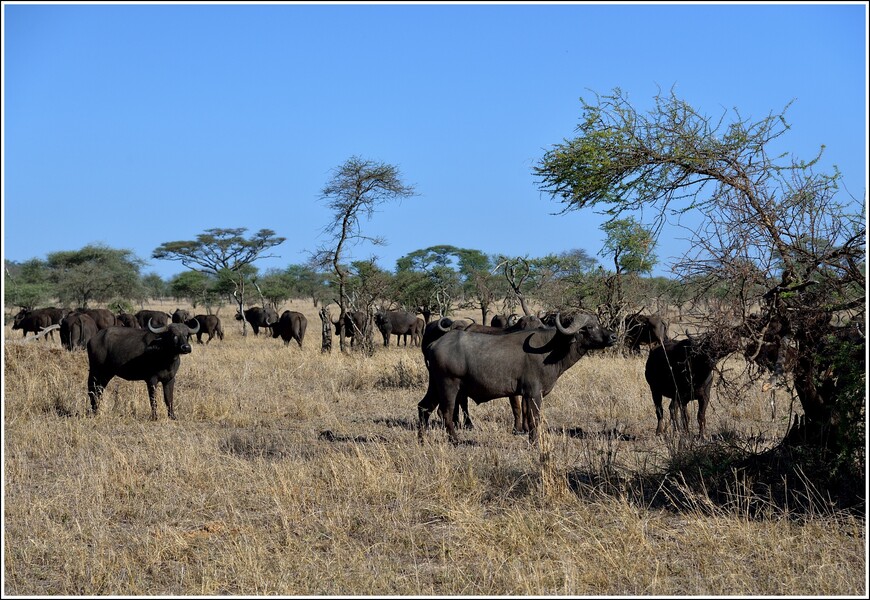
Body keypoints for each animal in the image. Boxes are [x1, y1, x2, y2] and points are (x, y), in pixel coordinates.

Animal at [418, 314, 616, 446]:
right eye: (590, 327)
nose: (613, 336)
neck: (552, 348)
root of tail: (434, 344)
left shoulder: (526, 395)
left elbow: (528, 416)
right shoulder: (534, 394)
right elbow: (534, 418)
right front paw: (535, 443)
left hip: (435, 386)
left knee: (424, 407)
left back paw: (422, 439)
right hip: (449, 386)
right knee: (445, 412)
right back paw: (455, 440)